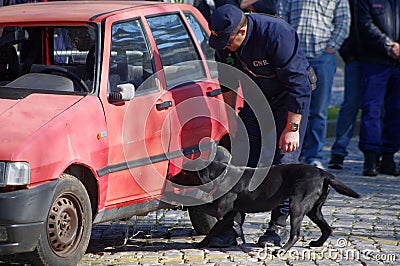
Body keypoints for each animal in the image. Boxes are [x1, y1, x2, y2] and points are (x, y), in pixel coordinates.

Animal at [175, 161, 360, 252]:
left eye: (185, 172)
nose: (172, 176)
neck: (222, 175)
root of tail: (323, 173)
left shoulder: (220, 210)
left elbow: (200, 205)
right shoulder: (227, 215)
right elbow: (213, 230)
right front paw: (201, 244)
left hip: (297, 205)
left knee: (295, 234)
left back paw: (282, 250)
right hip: (314, 210)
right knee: (327, 228)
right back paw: (316, 244)